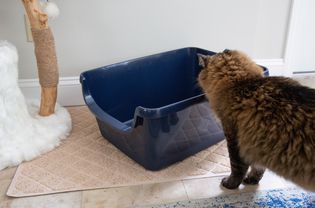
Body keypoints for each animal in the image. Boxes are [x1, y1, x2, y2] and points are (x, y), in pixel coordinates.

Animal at [199, 49, 315, 191]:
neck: (242, 83)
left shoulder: (234, 139)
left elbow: (237, 168)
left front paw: (230, 184)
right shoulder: (259, 145)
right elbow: (258, 168)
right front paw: (252, 180)